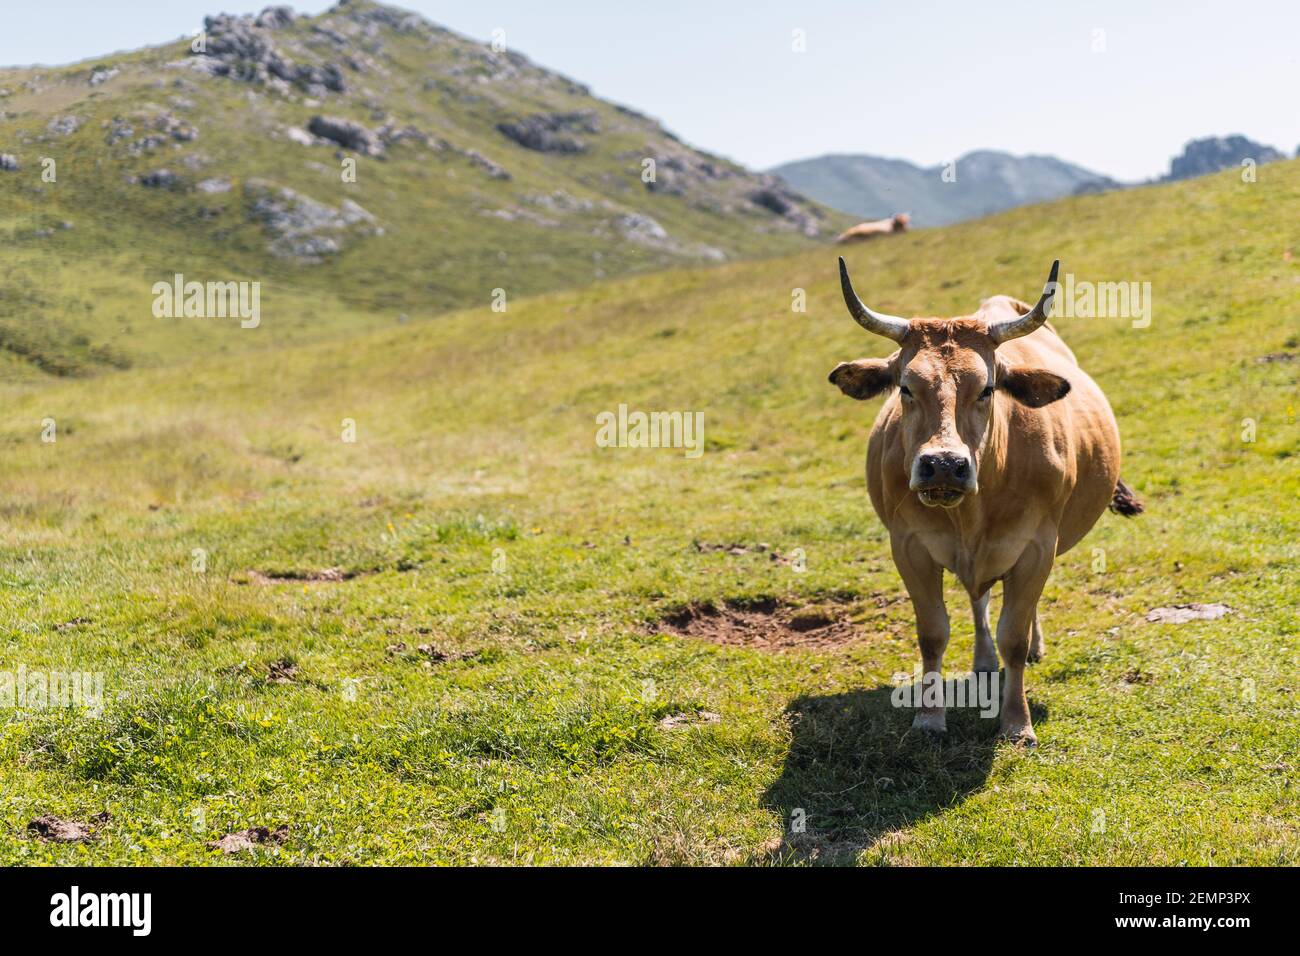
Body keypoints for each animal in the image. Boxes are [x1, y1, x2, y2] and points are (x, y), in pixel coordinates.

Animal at [826, 257, 1144, 743]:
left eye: (987, 388)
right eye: (905, 387)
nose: (943, 464)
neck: (969, 513)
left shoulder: (1036, 547)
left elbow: (1014, 633)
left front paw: (1016, 722)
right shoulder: (908, 547)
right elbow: (933, 633)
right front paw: (929, 716)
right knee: (980, 599)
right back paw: (982, 660)